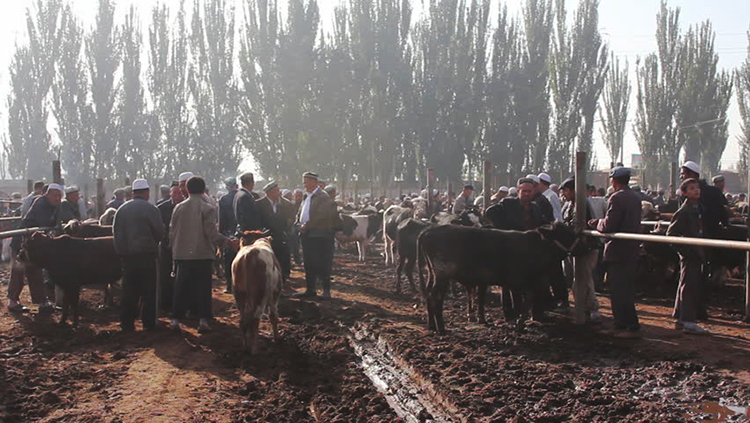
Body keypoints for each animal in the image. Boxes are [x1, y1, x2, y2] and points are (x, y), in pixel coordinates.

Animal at [420, 224, 584, 336]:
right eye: (566, 235)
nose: (587, 245)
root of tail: (429, 230)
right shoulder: (517, 282)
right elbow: (527, 300)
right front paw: (519, 324)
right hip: (442, 276)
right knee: (435, 297)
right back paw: (441, 328)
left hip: (433, 274)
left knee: (428, 294)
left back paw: (431, 325)